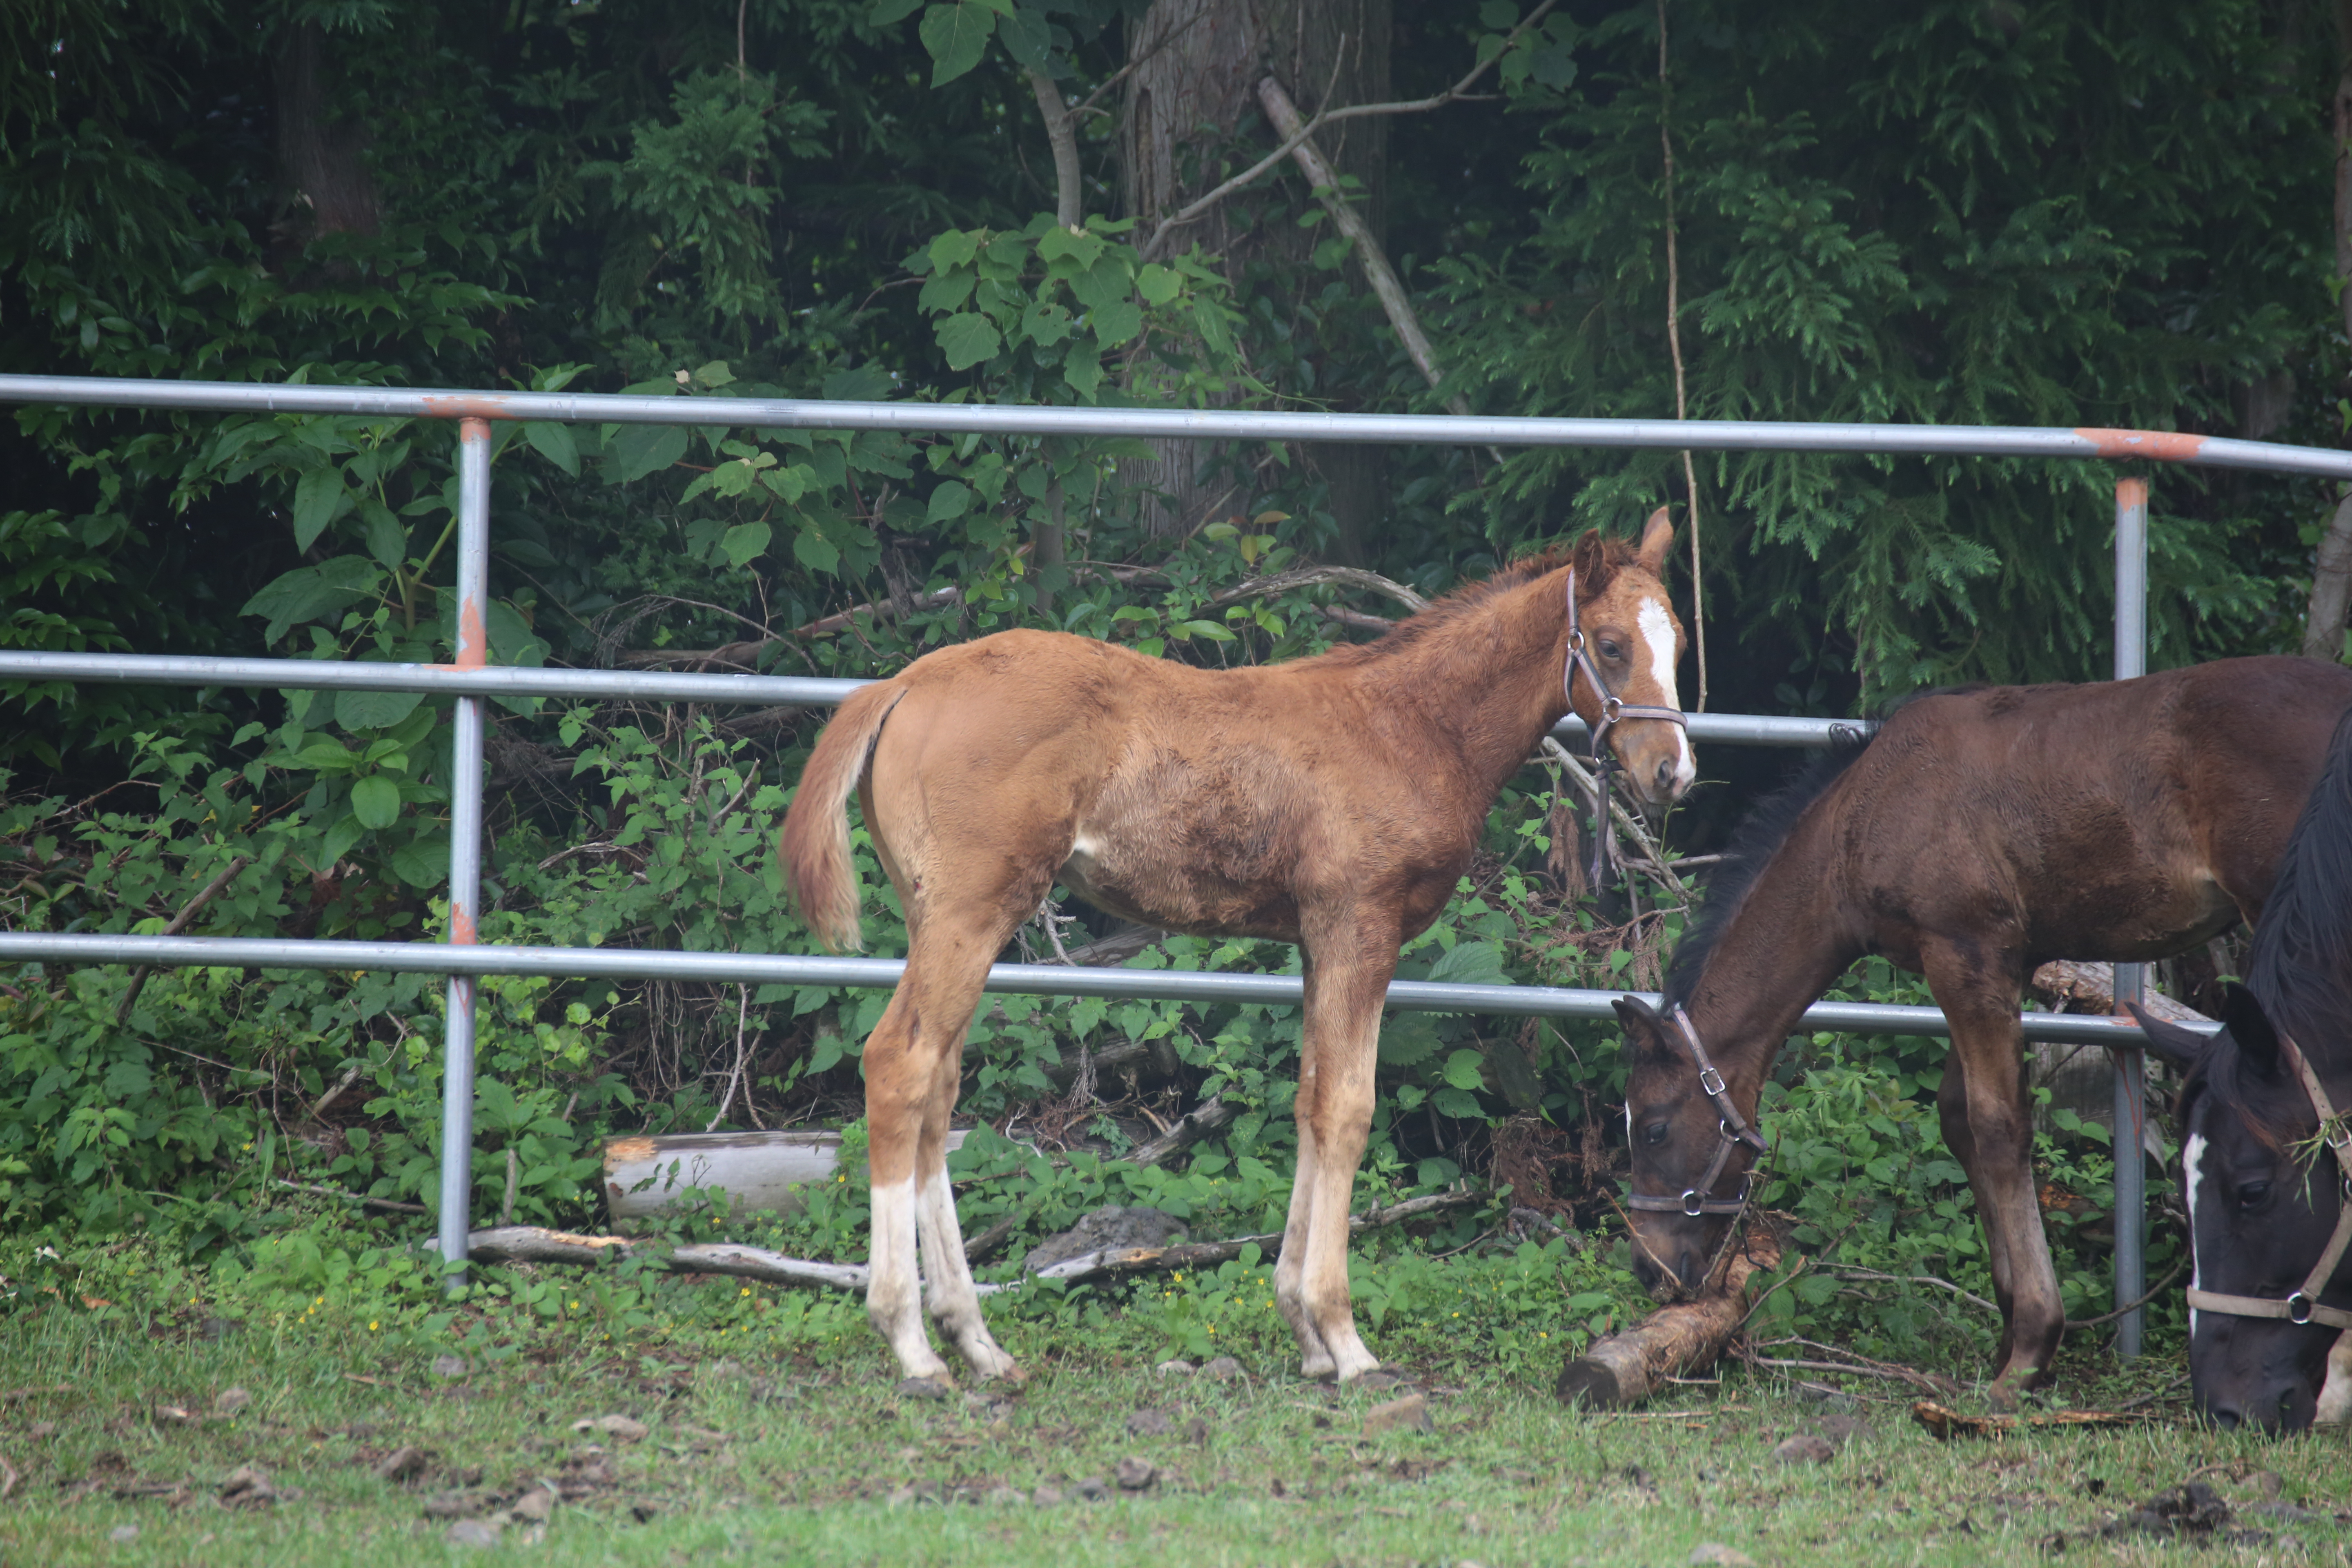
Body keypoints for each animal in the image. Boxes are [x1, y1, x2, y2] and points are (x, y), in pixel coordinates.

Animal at [785, 514, 1693, 1382]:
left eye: (1681, 642)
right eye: (1611, 644)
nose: (1674, 774)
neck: (1412, 725)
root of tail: (901, 684)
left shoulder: (1316, 943)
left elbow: (1309, 1102)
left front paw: (1304, 1333)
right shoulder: (1359, 927)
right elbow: (1348, 1109)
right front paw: (1345, 1340)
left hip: (938, 917)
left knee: (939, 1090)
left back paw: (977, 1343)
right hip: (972, 914)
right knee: (899, 1066)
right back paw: (913, 1347)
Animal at [1618, 658, 2352, 1401]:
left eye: (1652, 1129)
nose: (1650, 1269)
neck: (1858, 821)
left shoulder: (1966, 952)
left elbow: (2000, 1128)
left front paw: (2030, 1351)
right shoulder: (1996, 964)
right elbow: (1959, 1120)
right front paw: (2010, 1335)